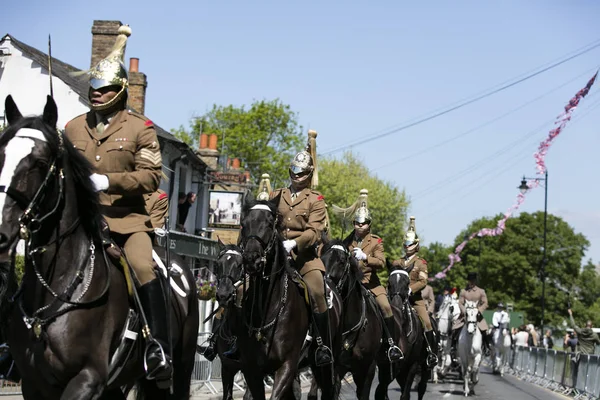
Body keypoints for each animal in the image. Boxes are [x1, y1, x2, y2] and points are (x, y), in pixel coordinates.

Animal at [0, 96, 199, 400]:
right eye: (0, 154)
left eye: (40, 162)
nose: (0, 231)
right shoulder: (33, 384)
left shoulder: (87, 378)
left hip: (182, 367)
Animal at [378, 268, 428, 400]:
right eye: (389, 282)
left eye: (407, 283)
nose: (397, 304)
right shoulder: (386, 365)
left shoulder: (413, 365)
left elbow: (405, 394)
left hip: (424, 368)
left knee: (421, 388)